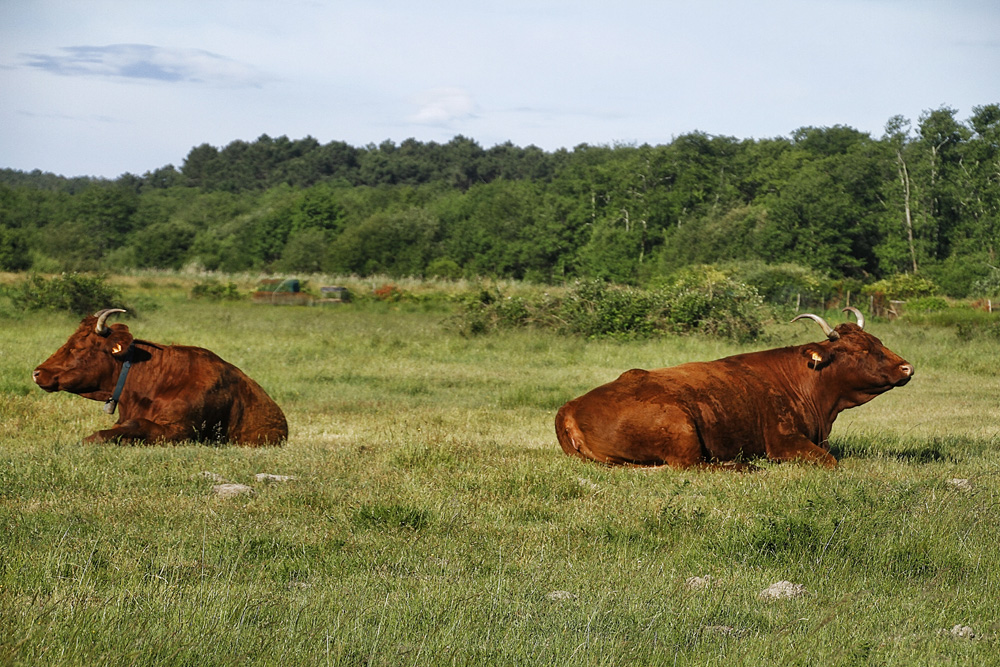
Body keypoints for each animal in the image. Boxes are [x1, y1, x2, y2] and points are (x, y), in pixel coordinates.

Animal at [556, 310, 916, 470]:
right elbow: (830, 461)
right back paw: (744, 465)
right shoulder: (783, 440)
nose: (906, 368)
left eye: (878, 341)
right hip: (680, 427)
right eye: (860, 350)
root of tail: (570, 407)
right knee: (694, 465)